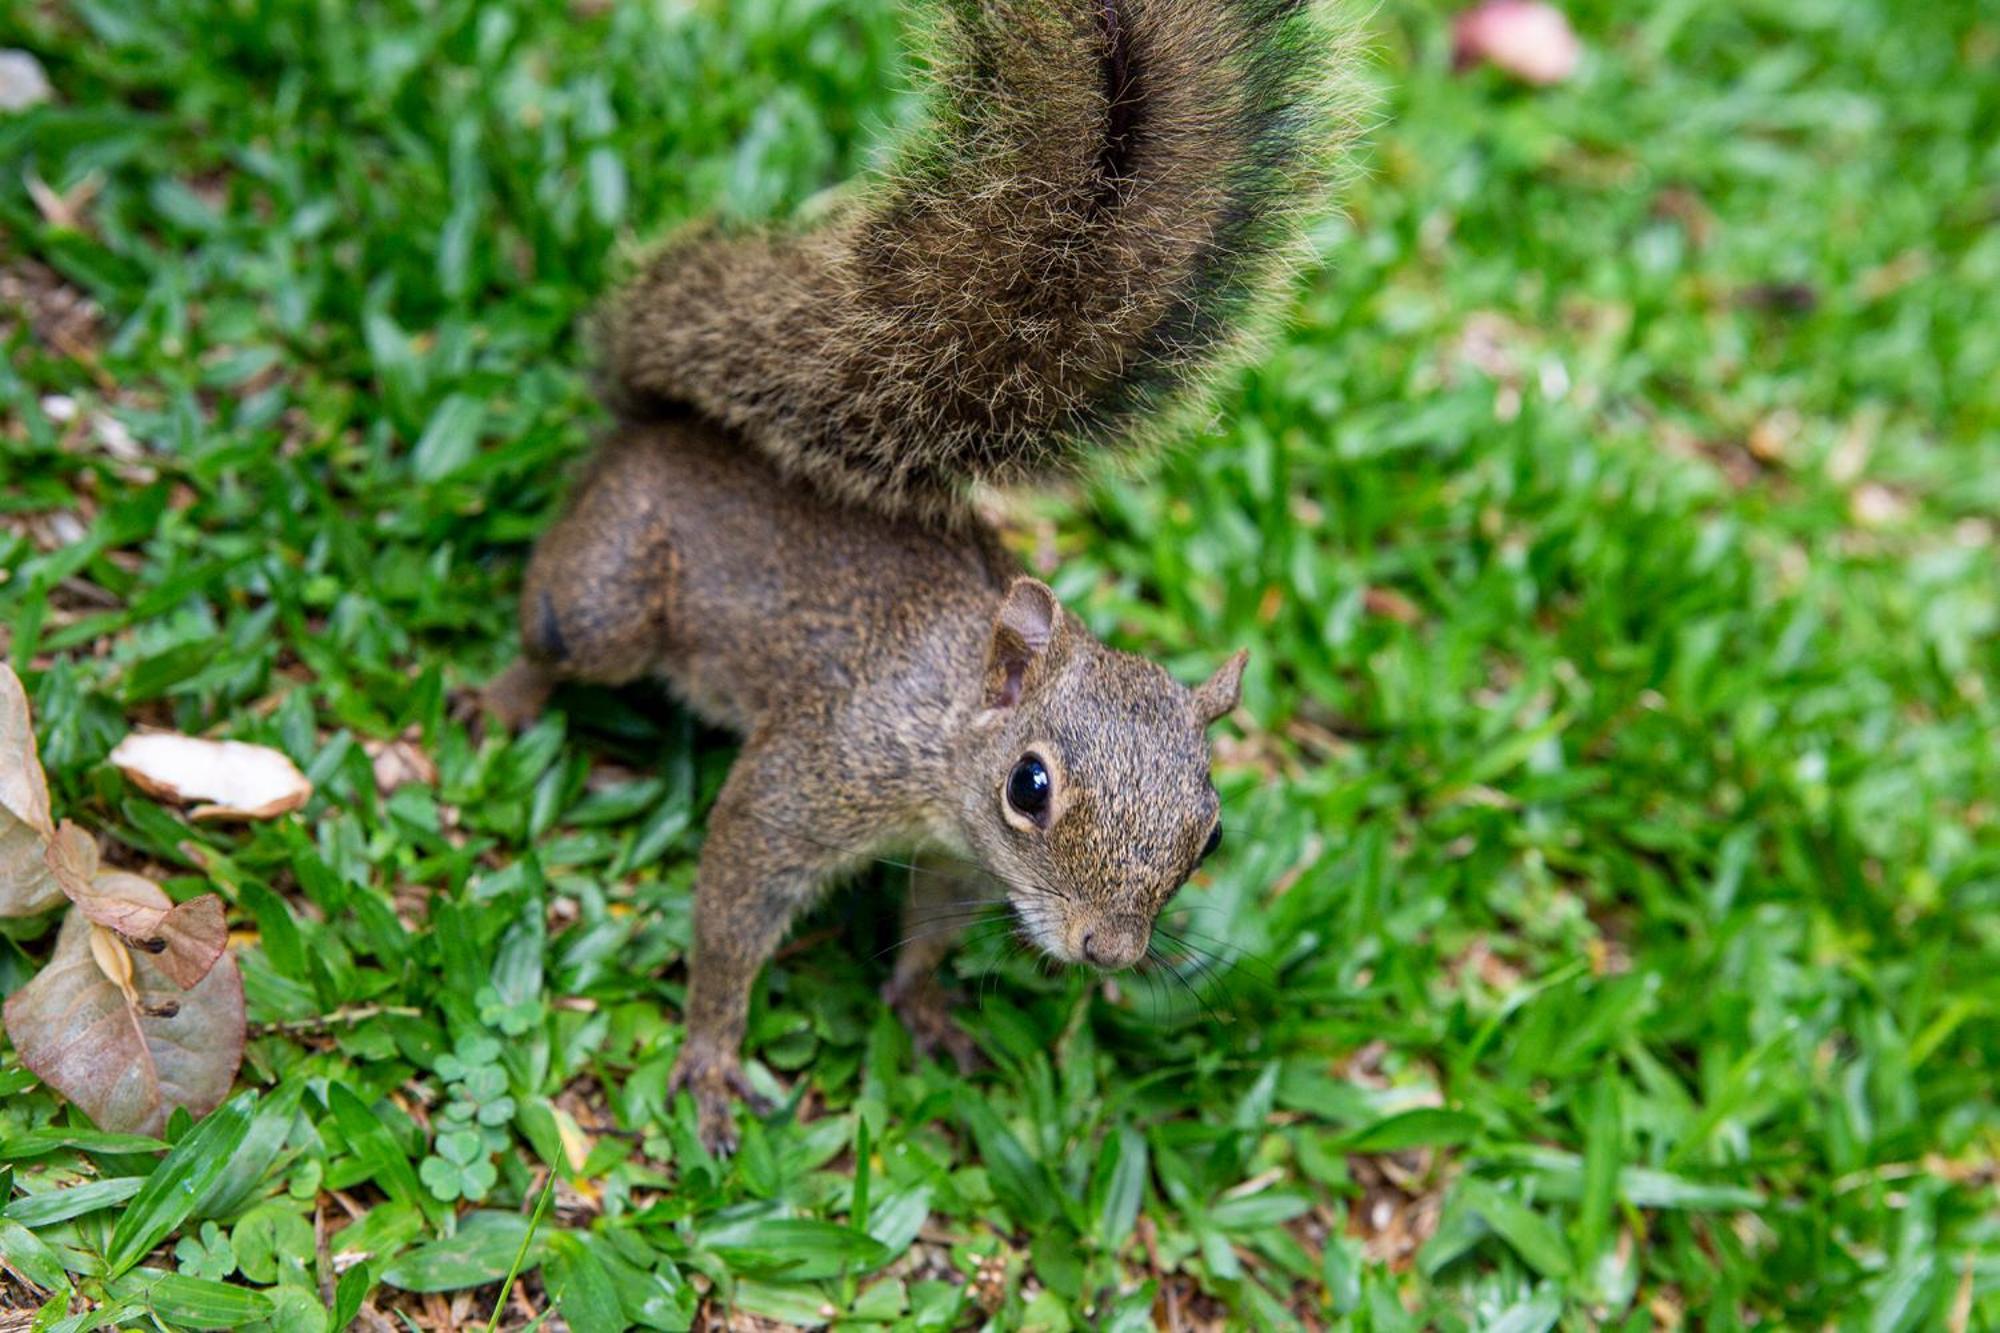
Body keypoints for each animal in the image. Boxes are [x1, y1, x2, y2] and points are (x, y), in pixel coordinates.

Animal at [486, 0, 1368, 1152]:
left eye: (1209, 830)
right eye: (1030, 786)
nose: (1111, 952)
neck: (949, 720)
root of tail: (663, 422)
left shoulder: (956, 861)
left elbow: (932, 929)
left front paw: (925, 1006)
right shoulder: (822, 766)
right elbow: (734, 900)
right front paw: (713, 1054)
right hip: (613, 594)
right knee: (559, 628)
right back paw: (503, 699)